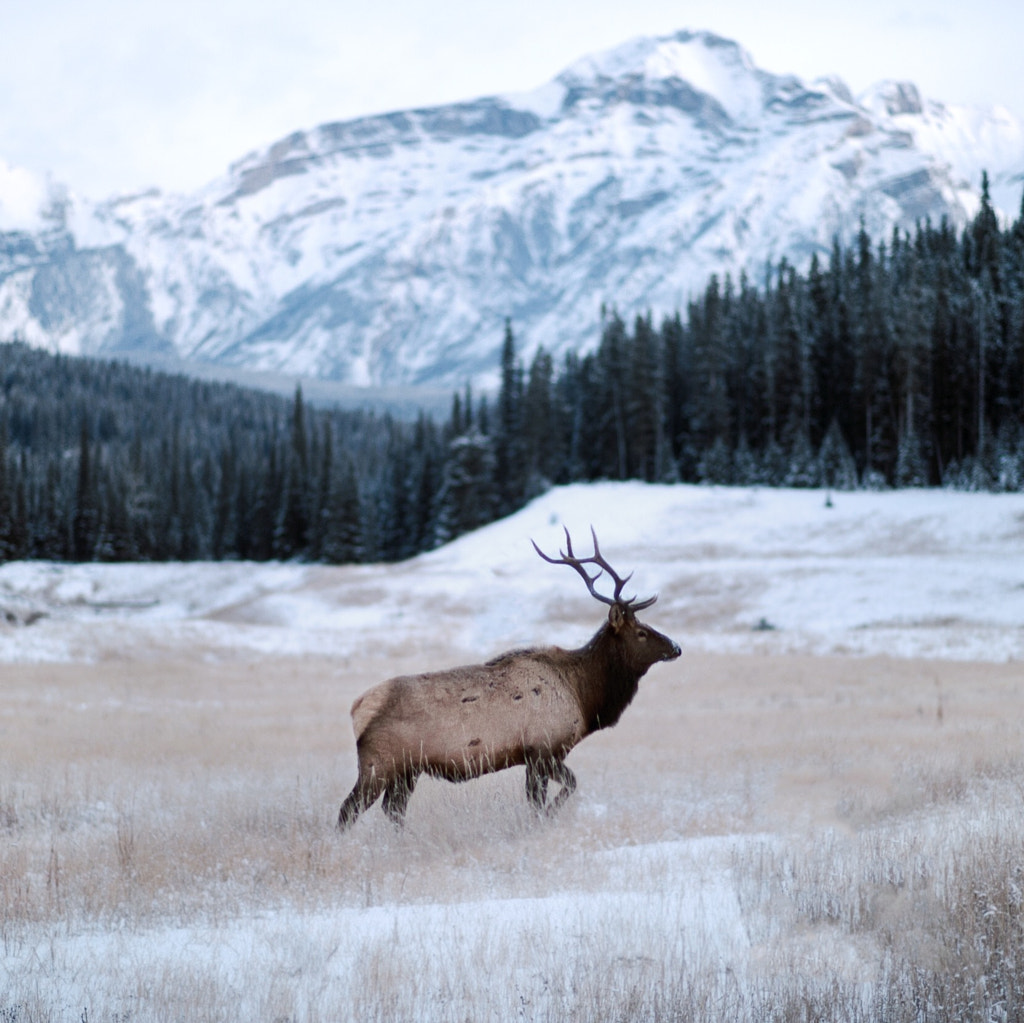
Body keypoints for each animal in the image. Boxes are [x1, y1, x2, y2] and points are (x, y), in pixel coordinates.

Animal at [335, 528, 679, 831]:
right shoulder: (544, 748)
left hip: (408, 769)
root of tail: (357, 708)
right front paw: (544, 821)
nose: (676, 647)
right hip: (378, 764)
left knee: (393, 809)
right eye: (642, 632)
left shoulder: (535, 756)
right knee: (348, 809)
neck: (583, 696)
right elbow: (556, 792)